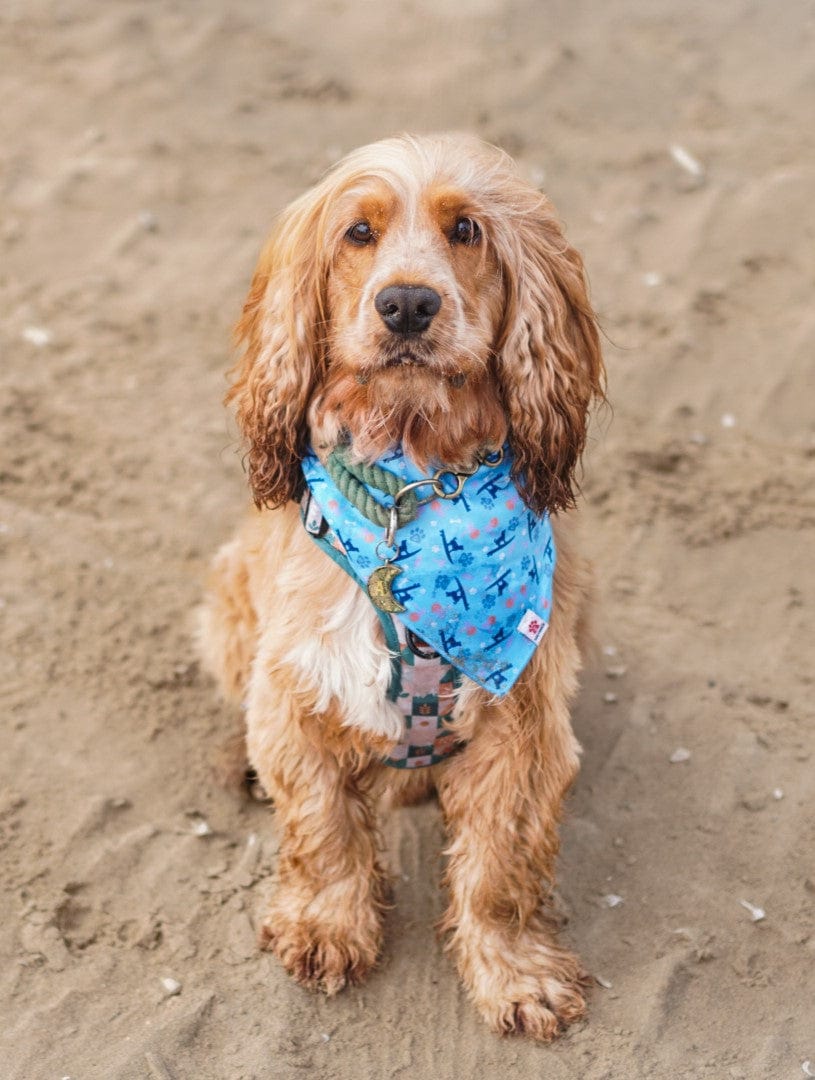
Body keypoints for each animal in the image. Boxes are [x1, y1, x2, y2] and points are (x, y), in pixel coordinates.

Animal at [199, 130, 604, 1041]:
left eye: (467, 230)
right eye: (359, 232)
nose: (408, 305)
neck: (413, 486)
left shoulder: (524, 729)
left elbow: (499, 870)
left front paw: (515, 974)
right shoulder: (298, 693)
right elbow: (321, 831)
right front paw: (325, 928)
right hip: (227, 597)